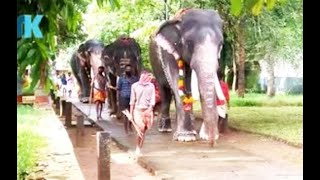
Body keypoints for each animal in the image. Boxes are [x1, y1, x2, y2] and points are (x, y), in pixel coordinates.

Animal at [149, 8, 226, 146]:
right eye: (189, 43)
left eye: (220, 44)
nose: (212, 143)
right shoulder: (168, 52)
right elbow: (176, 81)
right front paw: (186, 137)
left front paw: (205, 136)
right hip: (155, 65)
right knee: (165, 92)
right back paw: (165, 129)